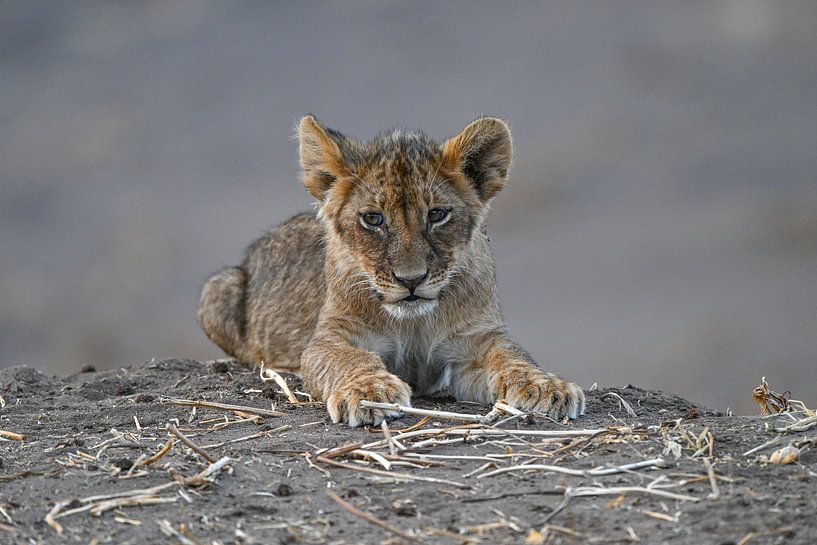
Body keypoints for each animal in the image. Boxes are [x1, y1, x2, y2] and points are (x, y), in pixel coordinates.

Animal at [198, 115, 585, 426]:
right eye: (373, 219)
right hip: (217, 291)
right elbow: (348, 359)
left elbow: (512, 357)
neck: (413, 322)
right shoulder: (331, 336)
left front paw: (546, 386)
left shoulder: (478, 340)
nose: (411, 280)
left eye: (436, 214)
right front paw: (370, 391)